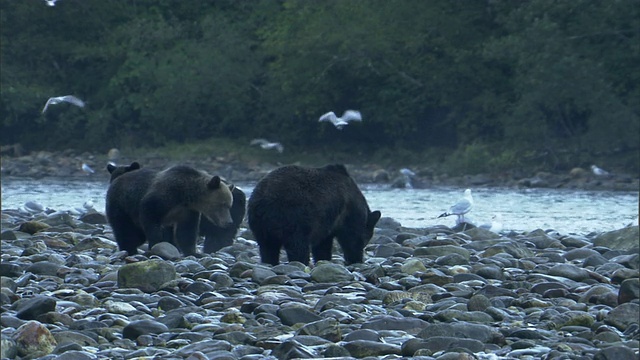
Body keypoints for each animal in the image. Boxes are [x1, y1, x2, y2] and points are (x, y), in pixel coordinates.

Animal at [105, 162, 245, 255]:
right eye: (222, 204)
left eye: (228, 205)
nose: (228, 221)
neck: (186, 195)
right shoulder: (160, 200)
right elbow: (151, 220)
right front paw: (156, 244)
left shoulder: (187, 211)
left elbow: (186, 232)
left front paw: (191, 251)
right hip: (122, 206)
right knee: (125, 229)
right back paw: (130, 249)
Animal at [248, 165, 382, 266]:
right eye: (367, 239)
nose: (360, 258)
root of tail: (264, 200)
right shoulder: (346, 214)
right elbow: (350, 237)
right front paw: (355, 258)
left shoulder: (326, 223)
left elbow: (322, 243)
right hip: (294, 217)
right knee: (298, 245)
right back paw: (301, 262)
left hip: (259, 224)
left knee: (267, 247)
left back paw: (270, 262)